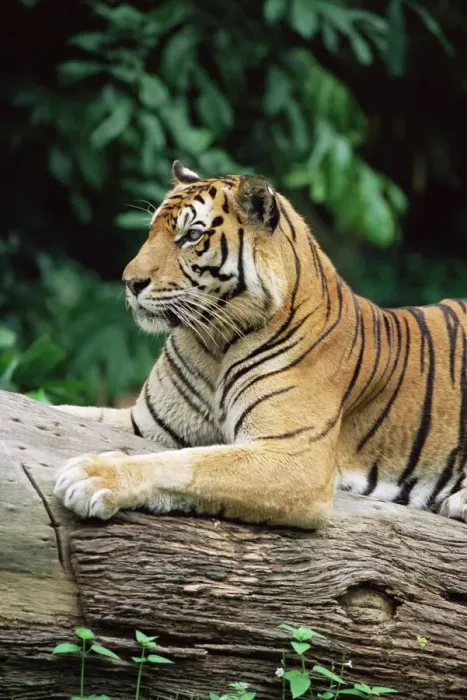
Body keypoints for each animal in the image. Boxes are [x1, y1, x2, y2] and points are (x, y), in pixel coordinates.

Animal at [54, 159, 467, 529]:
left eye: (191, 236)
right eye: (151, 231)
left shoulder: (291, 455)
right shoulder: (146, 423)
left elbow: (190, 463)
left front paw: (94, 475)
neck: (213, 342)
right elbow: (70, 411)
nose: (130, 282)